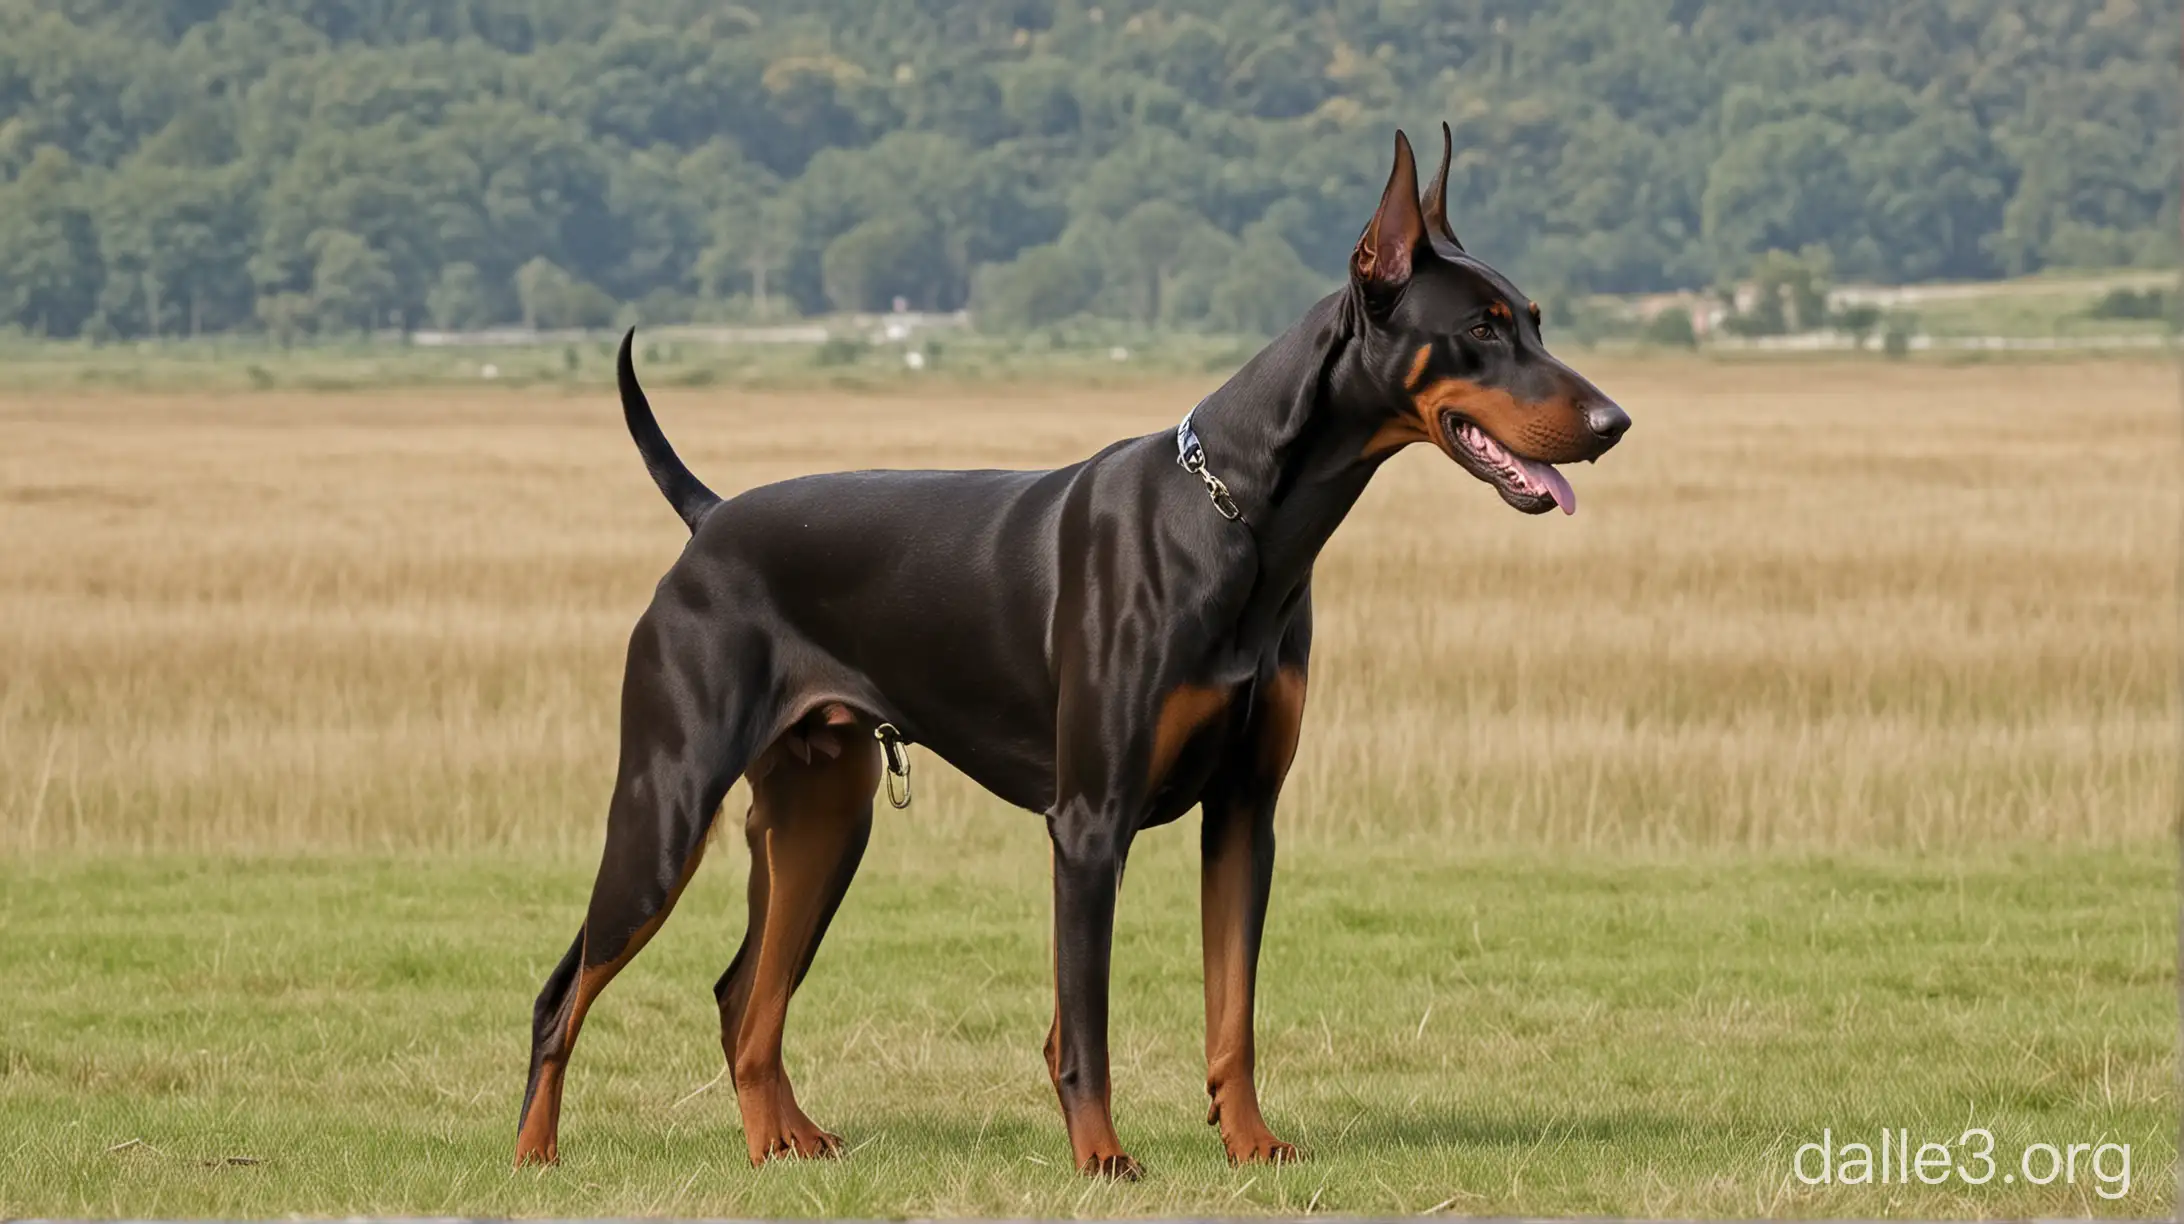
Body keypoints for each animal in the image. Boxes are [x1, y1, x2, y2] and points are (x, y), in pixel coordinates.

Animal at [519, 124, 1633, 1180]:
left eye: (1536, 318)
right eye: (1480, 330)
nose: (1615, 421)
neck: (1236, 516)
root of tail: (710, 519)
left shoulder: (1245, 813)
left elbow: (1231, 1010)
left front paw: (1250, 1144)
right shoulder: (1091, 822)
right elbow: (1085, 1026)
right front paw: (1101, 1156)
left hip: (823, 817)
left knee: (744, 998)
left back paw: (777, 1145)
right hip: (667, 810)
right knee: (564, 992)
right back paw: (538, 1156)